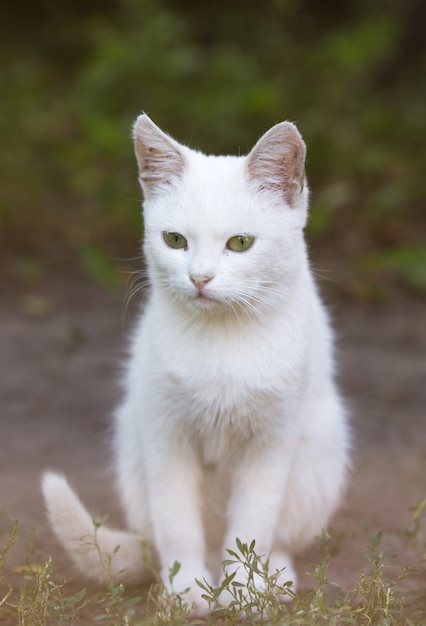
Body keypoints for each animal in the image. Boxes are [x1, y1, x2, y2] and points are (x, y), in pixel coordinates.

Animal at [42, 113, 350, 616]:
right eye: (175, 240)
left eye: (241, 243)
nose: (200, 277)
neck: (222, 340)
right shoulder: (165, 436)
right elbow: (178, 525)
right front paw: (187, 590)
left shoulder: (272, 442)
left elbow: (252, 526)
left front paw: (246, 591)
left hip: (320, 451)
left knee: (277, 538)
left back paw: (273, 579)